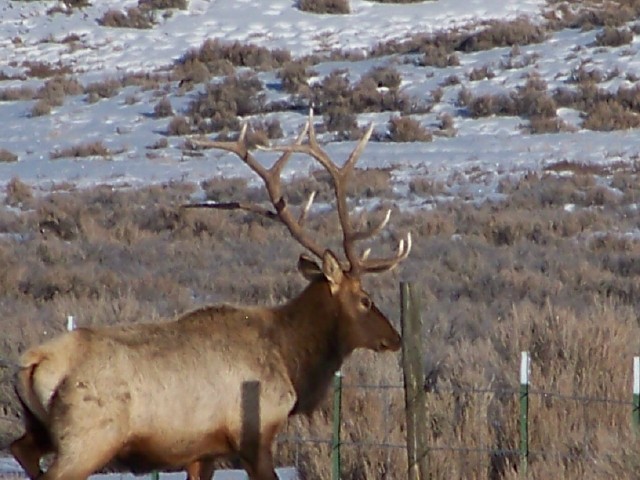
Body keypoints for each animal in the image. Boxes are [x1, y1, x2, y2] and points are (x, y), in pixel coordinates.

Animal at [8, 111, 410, 480]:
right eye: (366, 300)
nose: (395, 338)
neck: (290, 359)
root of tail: (32, 362)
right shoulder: (253, 436)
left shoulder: (203, 451)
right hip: (88, 437)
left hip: (42, 430)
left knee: (18, 447)